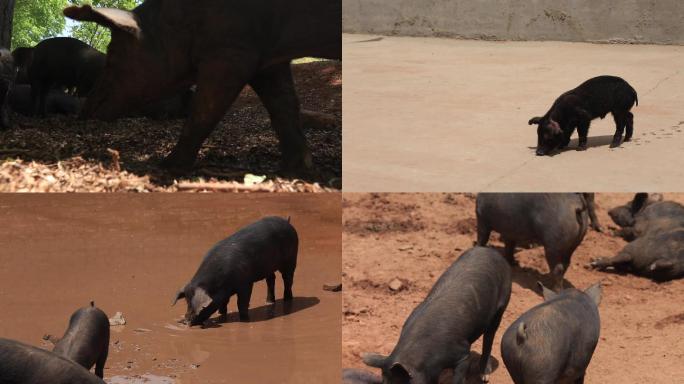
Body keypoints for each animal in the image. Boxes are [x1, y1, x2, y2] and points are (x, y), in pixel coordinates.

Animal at [360, 248, 510, 382]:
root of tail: (492, 251)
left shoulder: (462, 353)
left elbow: (459, 377)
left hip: (502, 304)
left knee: (490, 336)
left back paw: (485, 376)